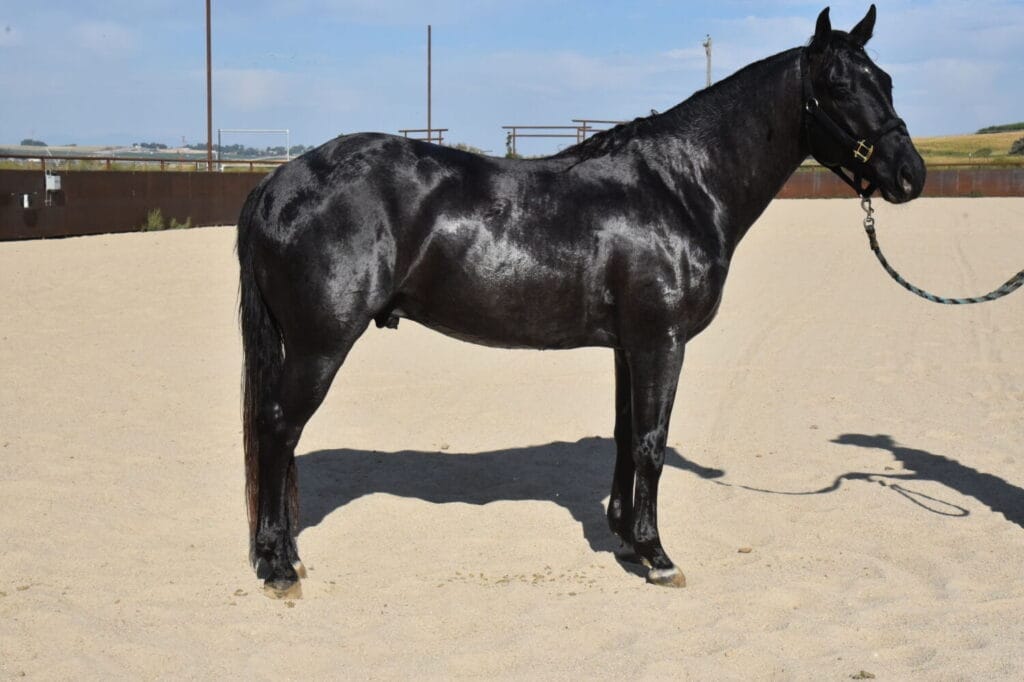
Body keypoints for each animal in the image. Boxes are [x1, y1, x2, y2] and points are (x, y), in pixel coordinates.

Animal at [237, 5, 925, 597]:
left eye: (886, 80)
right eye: (838, 86)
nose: (910, 174)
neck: (678, 187)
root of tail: (279, 182)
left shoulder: (629, 346)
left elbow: (626, 433)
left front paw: (624, 539)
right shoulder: (660, 341)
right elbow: (650, 440)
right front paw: (657, 554)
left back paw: (283, 554)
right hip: (320, 345)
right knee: (278, 428)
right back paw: (277, 564)